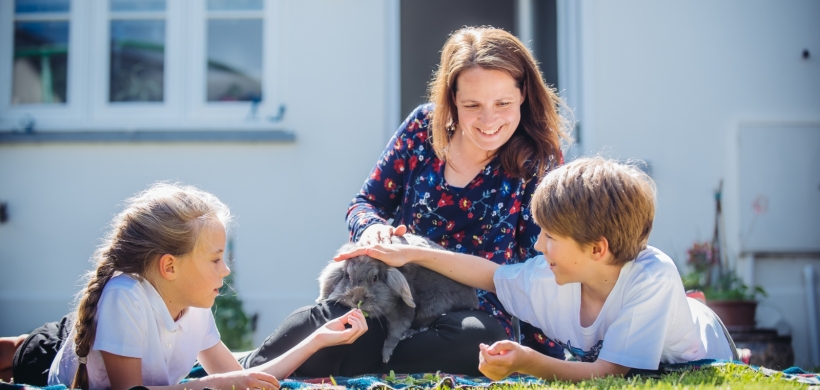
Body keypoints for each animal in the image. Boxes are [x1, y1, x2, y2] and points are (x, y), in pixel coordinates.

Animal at [316, 232, 480, 362]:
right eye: (348, 276)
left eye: (375, 278)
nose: (357, 299)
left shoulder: (402, 310)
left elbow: (396, 331)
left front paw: (386, 356)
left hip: (433, 305)